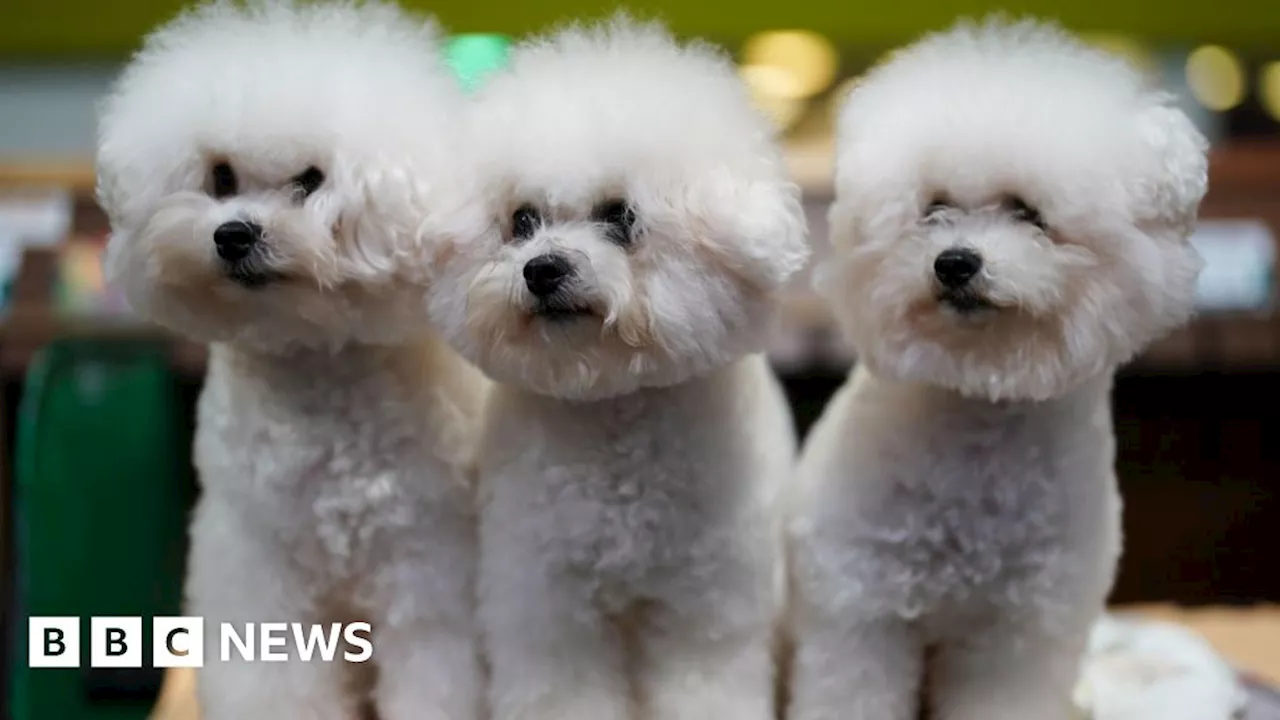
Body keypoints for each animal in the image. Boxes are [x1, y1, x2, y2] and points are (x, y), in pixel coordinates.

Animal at [96, 2, 488, 712]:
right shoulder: (258, 564)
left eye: (311, 180)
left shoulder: (424, 563)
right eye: (220, 177)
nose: (233, 234)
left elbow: (433, 671)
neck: (314, 366)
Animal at [430, 15, 808, 717]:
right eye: (522, 220)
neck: (615, 412)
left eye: (621, 216)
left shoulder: (704, 607)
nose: (542, 269)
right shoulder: (549, 605)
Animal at [778, 16, 1208, 717]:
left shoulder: (1017, 635)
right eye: (932, 209)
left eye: (1028, 213)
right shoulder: (861, 613)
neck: (980, 408)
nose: (954, 263)